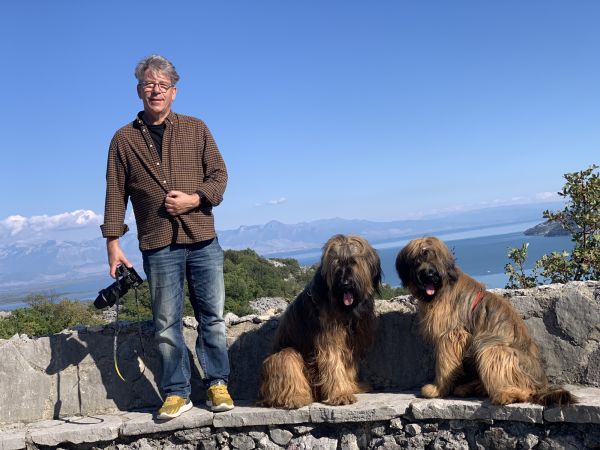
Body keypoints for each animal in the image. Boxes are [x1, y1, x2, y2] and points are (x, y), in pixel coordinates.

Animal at [257, 234, 382, 408]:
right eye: (336, 264)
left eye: (353, 261)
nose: (344, 284)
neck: (343, 308)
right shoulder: (329, 338)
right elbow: (333, 364)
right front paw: (341, 394)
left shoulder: (351, 341)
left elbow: (347, 366)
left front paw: (351, 387)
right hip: (282, 357)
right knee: (287, 361)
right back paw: (296, 398)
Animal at [395, 236, 575, 406]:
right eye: (417, 260)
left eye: (434, 257)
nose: (429, 275)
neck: (443, 288)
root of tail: (541, 383)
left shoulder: (452, 335)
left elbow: (444, 363)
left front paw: (437, 389)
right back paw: (469, 388)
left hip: (494, 349)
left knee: (521, 387)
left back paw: (507, 394)